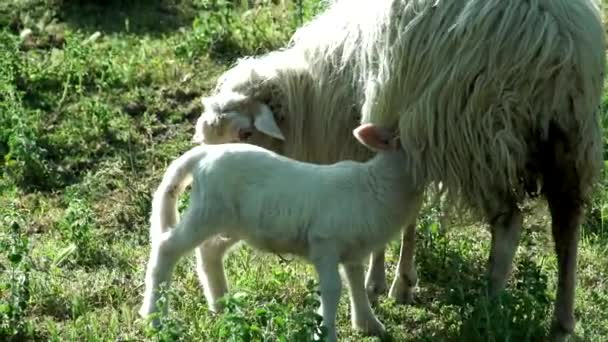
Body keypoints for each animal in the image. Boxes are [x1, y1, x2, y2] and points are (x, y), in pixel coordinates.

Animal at [138, 123, 422, 342]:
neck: (376, 186)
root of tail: (203, 154)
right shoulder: (325, 243)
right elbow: (333, 288)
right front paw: (327, 334)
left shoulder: (353, 250)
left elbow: (356, 284)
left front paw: (369, 324)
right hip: (209, 210)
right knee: (167, 248)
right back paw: (154, 318)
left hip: (233, 221)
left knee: (209, 252)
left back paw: (221, 305)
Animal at [195, 0, 608, 340]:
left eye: (245, 133)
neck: (322, 90)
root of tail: (555, 38)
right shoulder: (407, 138)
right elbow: (409, 214)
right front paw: (401, 281)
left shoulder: (388, 123)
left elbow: (389, 211)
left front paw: (381, 281)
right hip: (571, 136)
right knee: (567, 223)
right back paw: (562, 320)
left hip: (477, 131)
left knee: (509, 223)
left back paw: (489, 307)